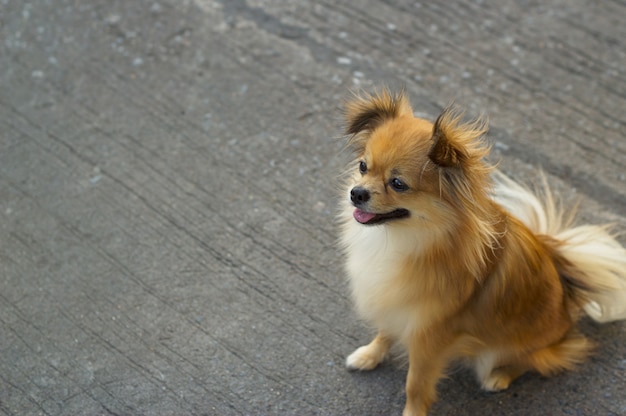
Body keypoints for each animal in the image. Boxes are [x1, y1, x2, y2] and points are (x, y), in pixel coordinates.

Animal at [338, 89, 624, 414]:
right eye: (363, 167)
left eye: (398, 184)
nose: (356, 193)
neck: (410, 236)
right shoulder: (395, 302)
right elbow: (384, 333)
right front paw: (369, 355)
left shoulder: (429, 337)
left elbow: (416, 384)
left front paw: (412, 411)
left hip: (504, 349)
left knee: (532, 361)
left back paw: (499, 376)